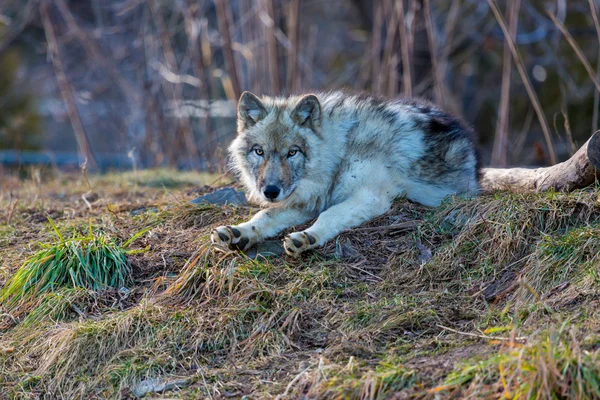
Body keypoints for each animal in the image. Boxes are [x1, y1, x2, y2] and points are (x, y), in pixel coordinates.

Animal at [209, 90, 480, 256]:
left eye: (292, 152)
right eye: (259, 151)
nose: (271, 191)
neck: (341, 149)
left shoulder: (369, 197)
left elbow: (330, 215)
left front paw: (307, 237)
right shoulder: (307, 201)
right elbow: (265, 216)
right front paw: (238, 232)